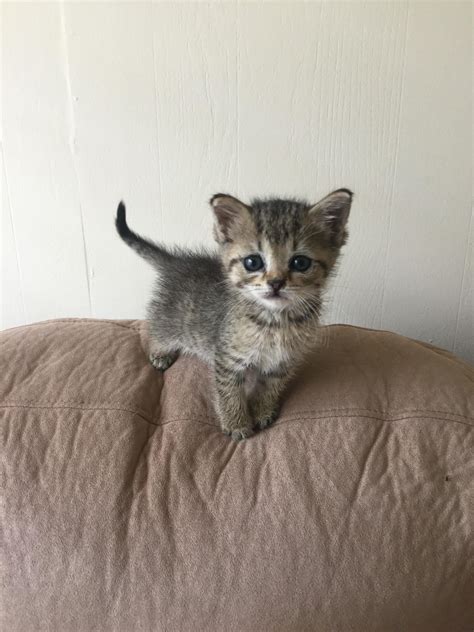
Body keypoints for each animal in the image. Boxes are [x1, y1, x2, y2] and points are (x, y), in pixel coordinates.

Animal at [115, 190, 352, 442]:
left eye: (300, 262)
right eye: (252, 262)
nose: (275, 283)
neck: (275, 321)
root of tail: (178, 263)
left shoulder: (282, 362)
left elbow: (270, 388)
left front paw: (262, 411)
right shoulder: (227, 359)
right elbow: (228, 393)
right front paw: (236, 424)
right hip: (170, 323)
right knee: (156, 329)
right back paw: (160, 354)